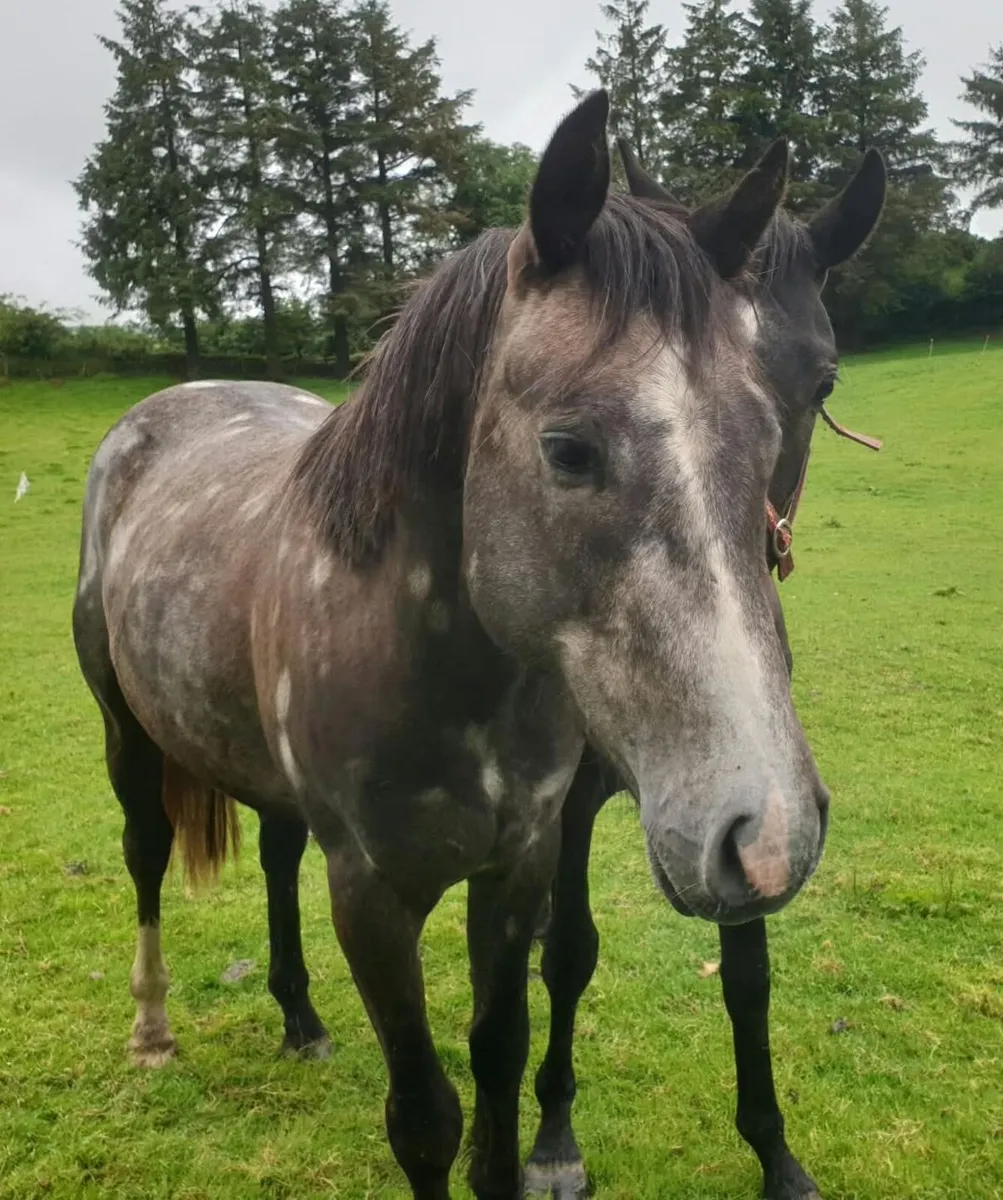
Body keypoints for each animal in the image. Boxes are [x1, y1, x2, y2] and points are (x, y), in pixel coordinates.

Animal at [73, 91, 829, 1199]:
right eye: (567, 449)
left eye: (772, 426)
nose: (767, 836)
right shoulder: (372, 897)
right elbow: (426, 1117)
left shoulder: (515, 868)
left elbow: (499, 1066)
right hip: (128, 735)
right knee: (144, 855)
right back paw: (152, 1030)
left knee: (275, 851)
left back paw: (299, 1018)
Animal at [522, 142, 887, 1200]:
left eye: (821, 382)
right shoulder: (570, 804)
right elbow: (570, 954)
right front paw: (552, 1134)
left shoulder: (753, 806)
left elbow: (748, 973)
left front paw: (775, 1152)